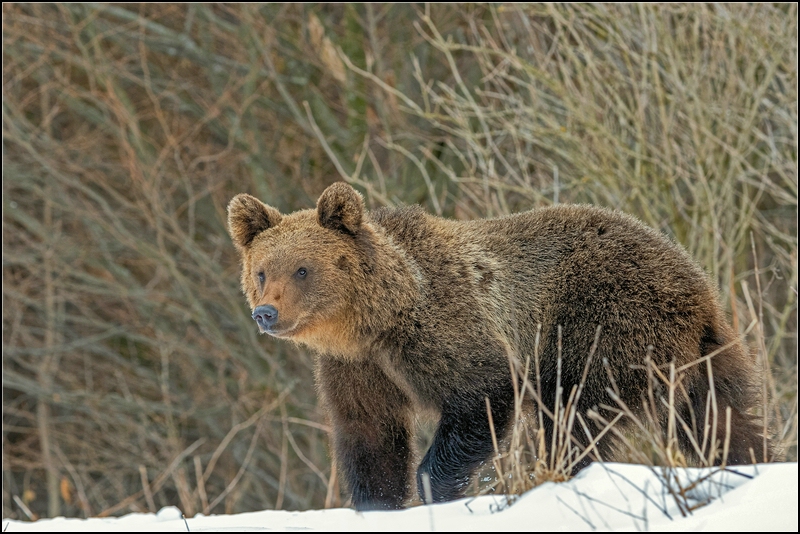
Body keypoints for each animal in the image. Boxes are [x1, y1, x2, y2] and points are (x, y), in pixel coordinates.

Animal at [225, 182, 768, 512]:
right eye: (262, 270)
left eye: (302, 269)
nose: (265, 313)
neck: (374, 322)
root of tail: (693, 277)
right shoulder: (356, 369)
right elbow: (369, 434)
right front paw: (378, 502)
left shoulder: (447, 332)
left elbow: (479, 397)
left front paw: (435, 486)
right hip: (700, 352)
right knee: (721, 415)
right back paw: (749, 463)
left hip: (599, 323)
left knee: (574, 412)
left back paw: (555, 474)